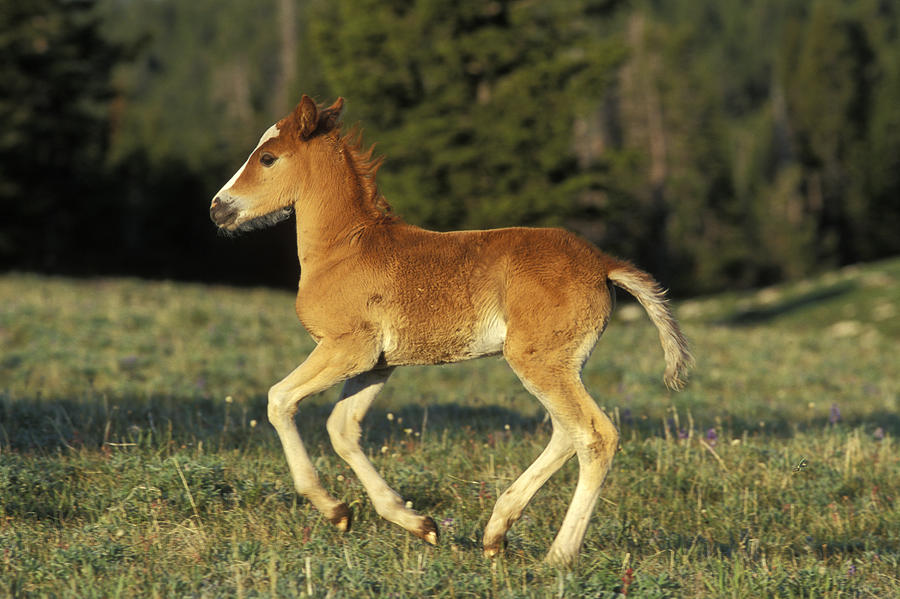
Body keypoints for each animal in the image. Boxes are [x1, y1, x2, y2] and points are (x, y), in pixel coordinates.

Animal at [213, 95, 696, 568]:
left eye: (268, 157)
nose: (218, 207)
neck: (344, 248)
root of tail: (603, 263)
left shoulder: (347, 349)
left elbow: (279, 399)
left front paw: (333, 510)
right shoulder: (378, 364)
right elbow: (342, 428)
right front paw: (415, 522)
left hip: (538, 360)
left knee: (595, 436)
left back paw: (558, 556)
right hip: (557, 363)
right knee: (566, 432)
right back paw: (496, 532)